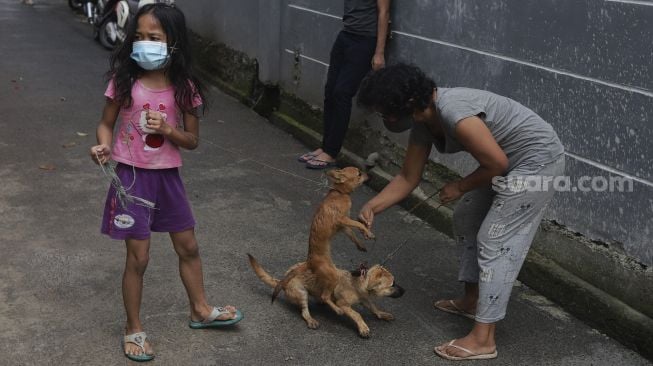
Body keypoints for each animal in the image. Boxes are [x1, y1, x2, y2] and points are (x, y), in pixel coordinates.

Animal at [248, 254, 404, 338]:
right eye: (392, 284)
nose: (405, 291)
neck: (357, 282)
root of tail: (283, 280)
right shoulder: (343, 304)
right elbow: (357, 314)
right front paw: (363, 327)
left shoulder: (365, 299)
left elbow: (373, 307)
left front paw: (382, 314)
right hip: (301, 292)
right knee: (304, 312)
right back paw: (311, 319)